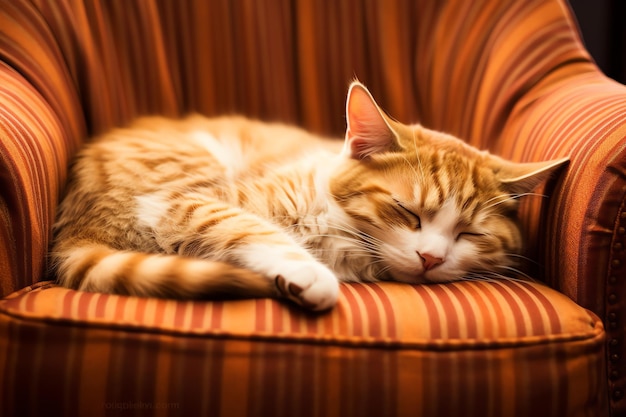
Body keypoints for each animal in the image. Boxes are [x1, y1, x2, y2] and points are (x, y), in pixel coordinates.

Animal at [48, 81, 564, 308]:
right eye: (406, 212)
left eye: (470, 234)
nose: (432, 259)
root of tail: (77, 226)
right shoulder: (179, 203)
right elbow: (245, 226)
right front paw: (309, 274)